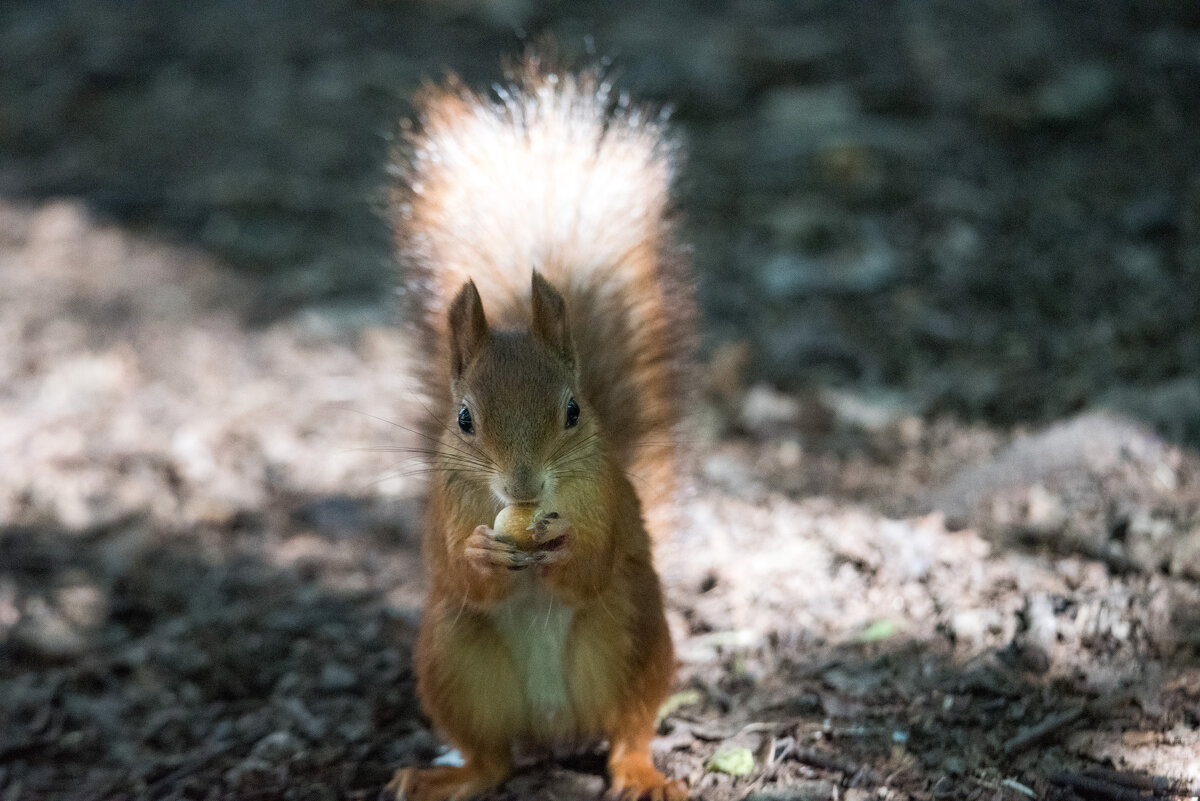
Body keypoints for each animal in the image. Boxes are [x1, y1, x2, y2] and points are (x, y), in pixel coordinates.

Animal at [386, 56, 696, 801]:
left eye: (574, 411)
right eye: (464, 418)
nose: (524, 485)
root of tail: (554, 724)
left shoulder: (605, 498)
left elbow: (590, 566)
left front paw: (565, 546)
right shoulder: (449, 503)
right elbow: (462, 570)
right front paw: (480, 553)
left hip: (636, 636)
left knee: (631, 729)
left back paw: (642, 772)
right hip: (452, 659)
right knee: (492, 760)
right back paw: (446, 778)